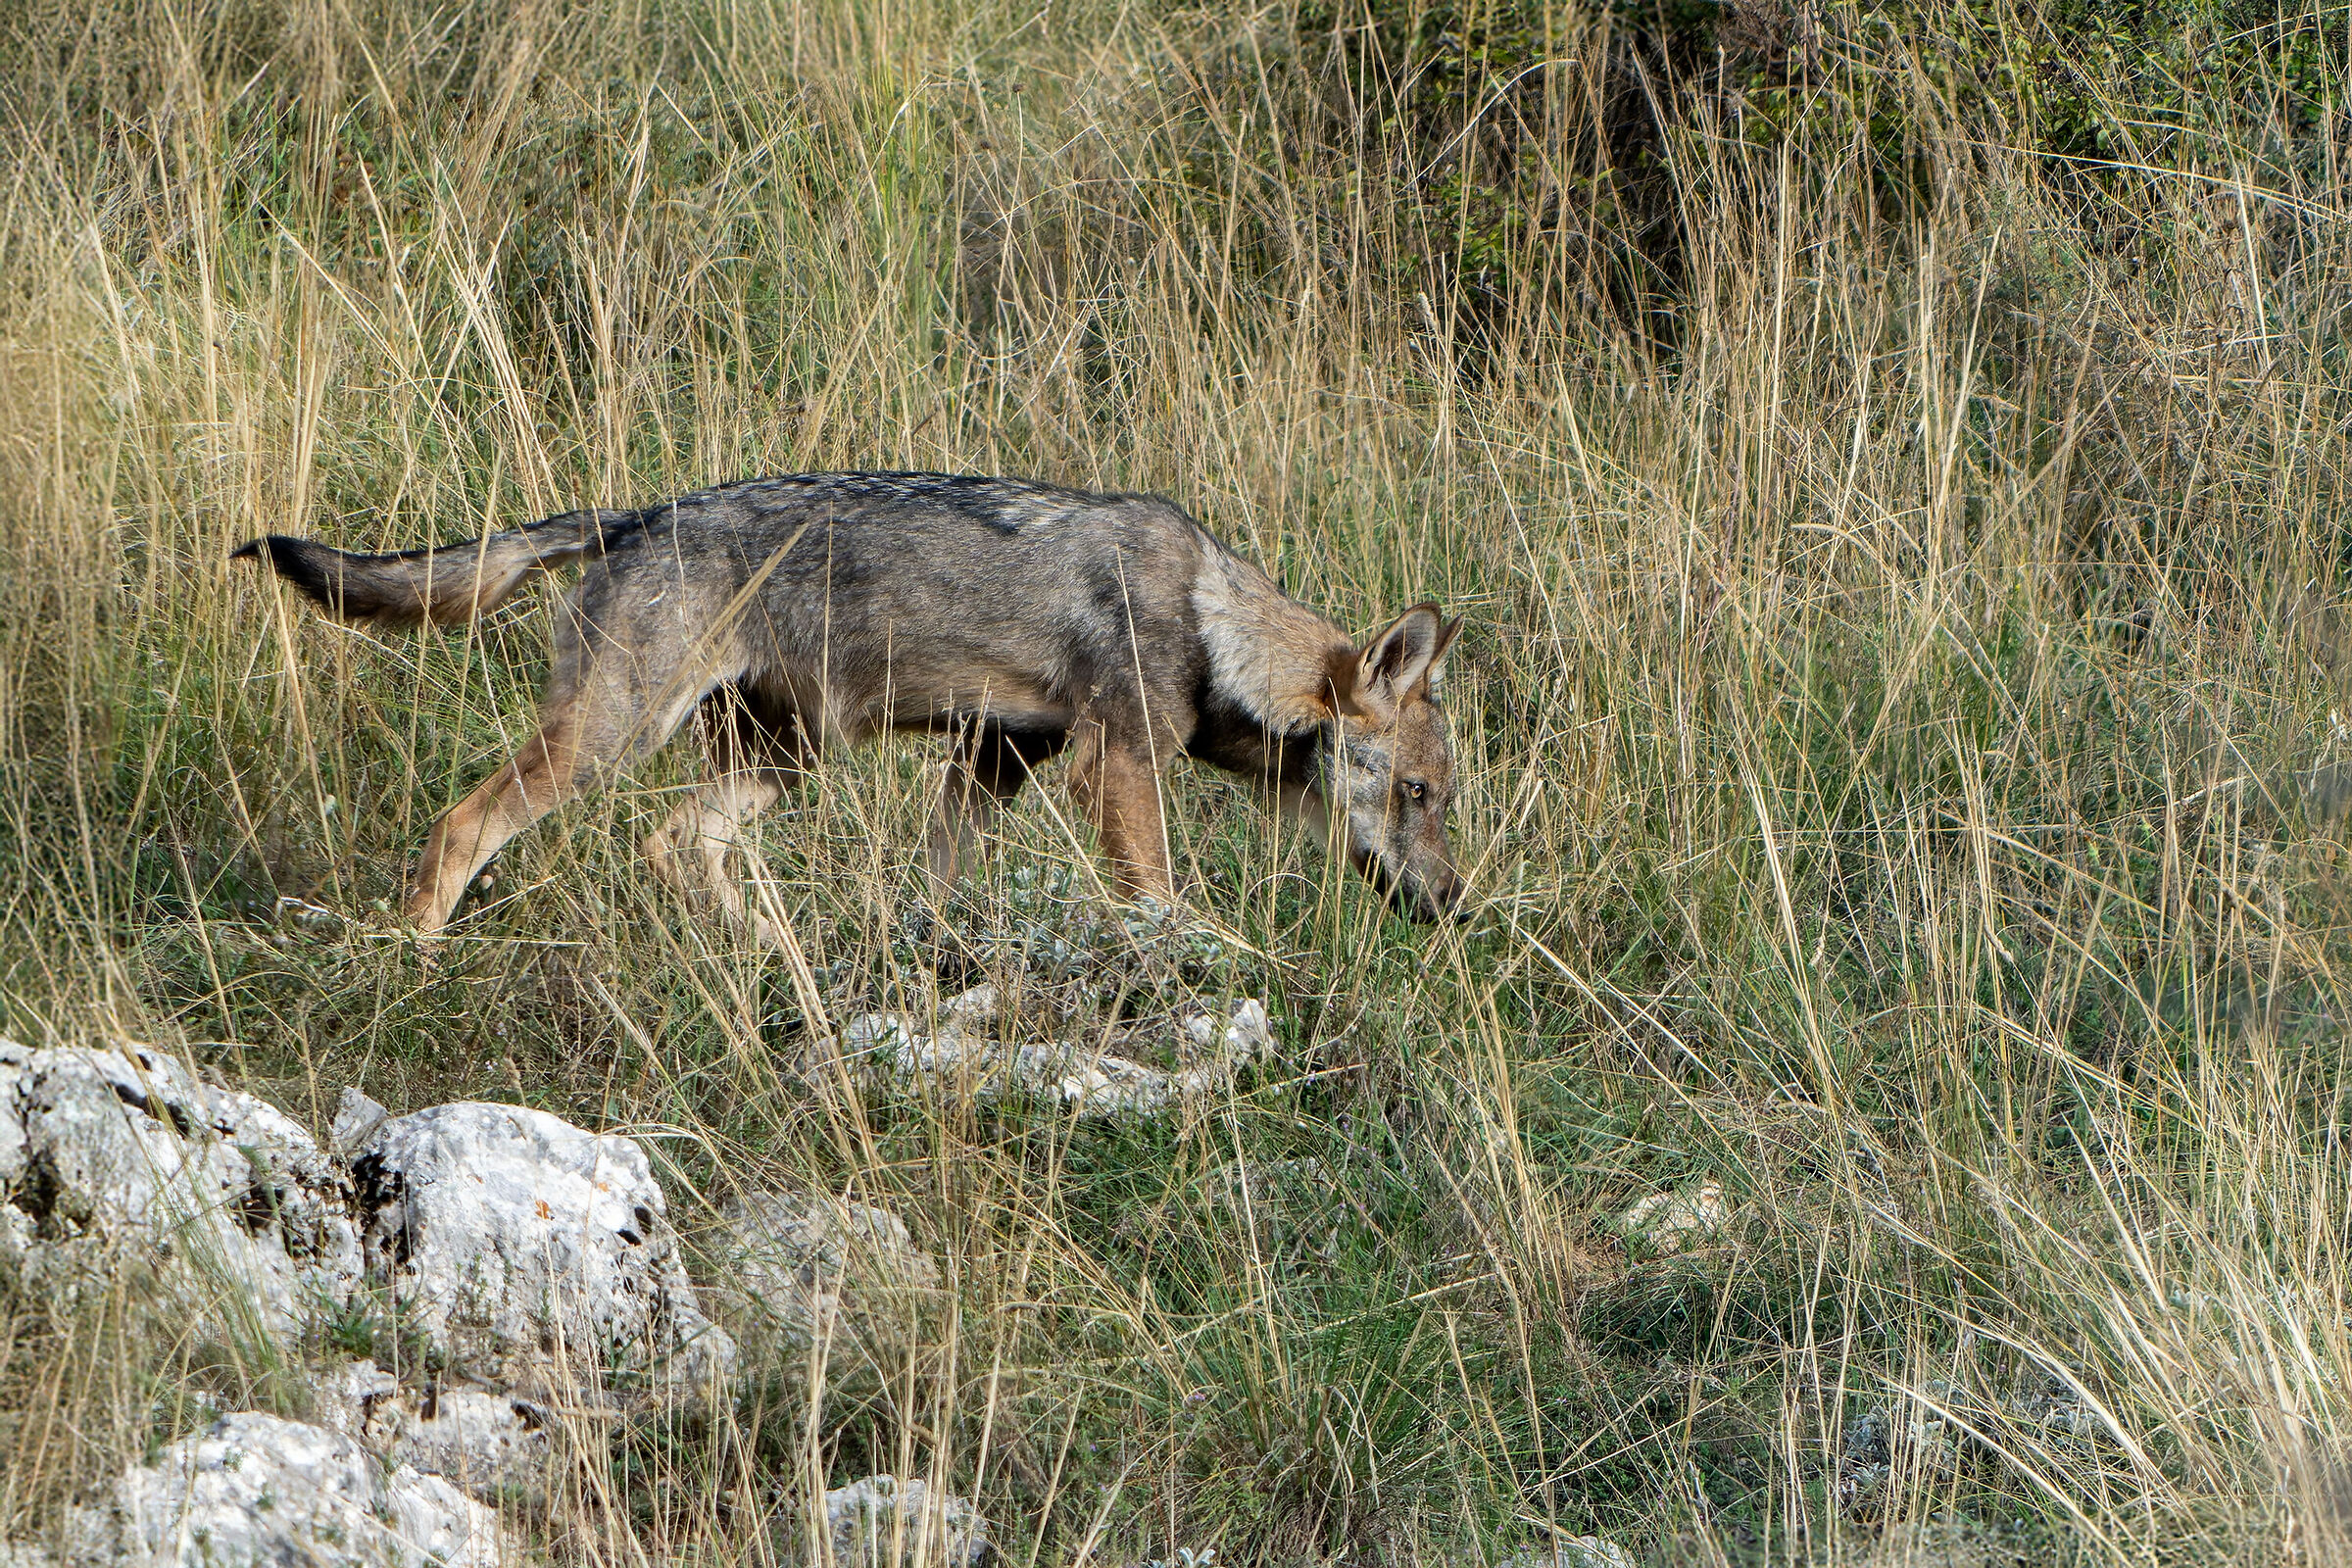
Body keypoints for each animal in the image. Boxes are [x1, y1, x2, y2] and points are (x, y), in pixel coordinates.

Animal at [232, 472, 1466, 942]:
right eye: (1417, 792)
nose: (1459, 906)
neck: (1215, 622)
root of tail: (634, 514)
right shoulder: (1113, 766)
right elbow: (1157, 896)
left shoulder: (995, 761)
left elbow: (937, 884)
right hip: (611, 743)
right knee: (464, 827)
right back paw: (413, 949)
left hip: (779, 763)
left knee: (676, 841)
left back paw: (767, 950)